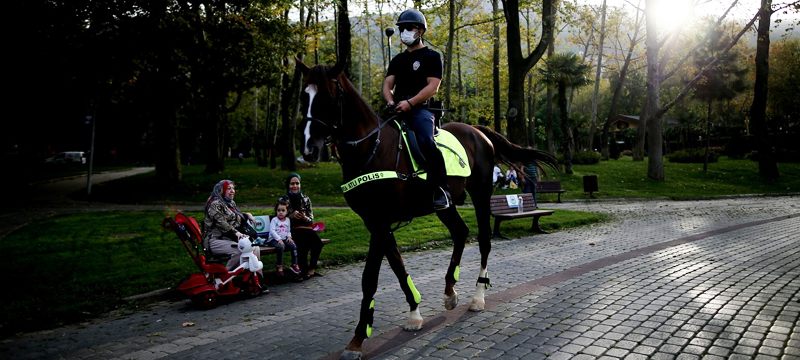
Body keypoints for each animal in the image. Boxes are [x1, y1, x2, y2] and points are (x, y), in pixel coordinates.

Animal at [296, 60, 556, 358]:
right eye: (304, 96)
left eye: (328, 97)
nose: (309, 148)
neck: (373, 149)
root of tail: (478, 131)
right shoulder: (375, 222)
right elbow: (397, 266)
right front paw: (414, 313)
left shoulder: (380, 221)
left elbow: (370, 278)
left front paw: (358, 338)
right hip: (445, 205)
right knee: (460, 232)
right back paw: (450, 291)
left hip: (480, 194)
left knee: (484, 241)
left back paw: (478, 297)